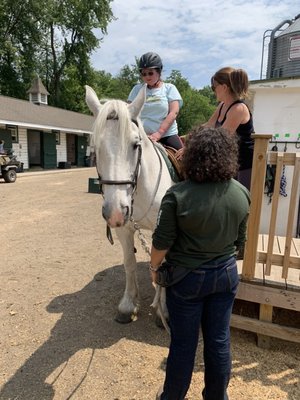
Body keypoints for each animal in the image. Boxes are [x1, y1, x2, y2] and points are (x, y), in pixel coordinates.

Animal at [84, 86, 175, 324]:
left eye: (136, 145)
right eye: (95, 148)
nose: (115, 212)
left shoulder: (164, 231)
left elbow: (163, 266)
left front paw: (163, 309)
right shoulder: (124, 228)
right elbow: (129, 263)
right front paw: (128, 304)